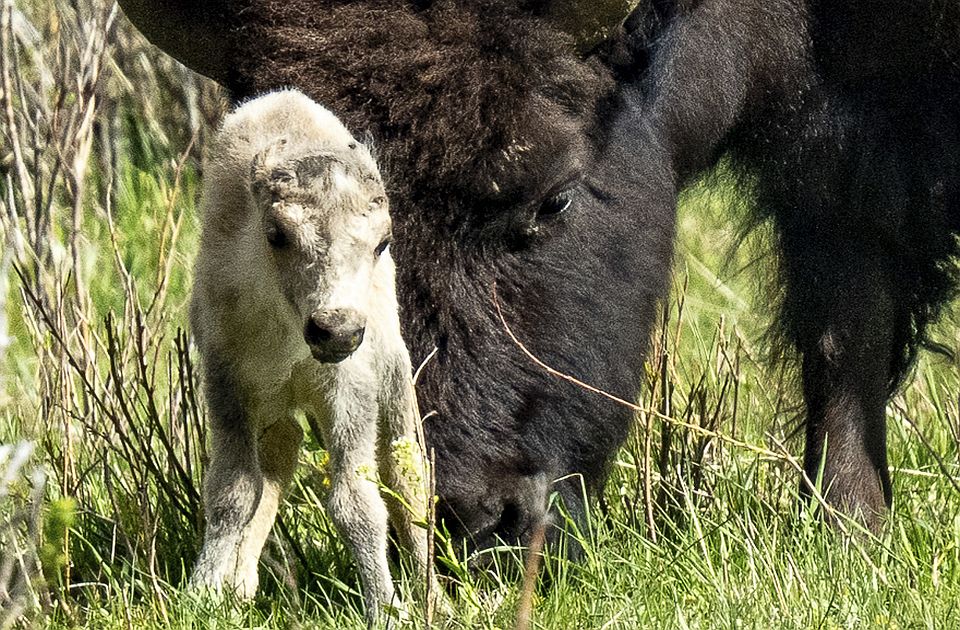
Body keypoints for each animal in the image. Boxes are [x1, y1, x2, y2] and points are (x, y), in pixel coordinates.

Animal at [118, 0, 960, 552]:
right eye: (282, 235)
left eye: (556, 195)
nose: (473, 520)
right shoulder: (835, 162)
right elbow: (843, 339)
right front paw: (853, 535)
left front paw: (849, 536)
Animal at [191, 89, 432, 628]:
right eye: (277, 233)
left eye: (382, 242)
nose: (336, 329)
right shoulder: (227, 384)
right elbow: (235, 491)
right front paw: (205, 592)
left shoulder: (349, 391)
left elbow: (357, 501)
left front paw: (386, 608)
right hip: (275, 408)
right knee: (280, 455)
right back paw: (240, 586)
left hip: (395, 380)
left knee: (407, 477)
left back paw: (435, 597)